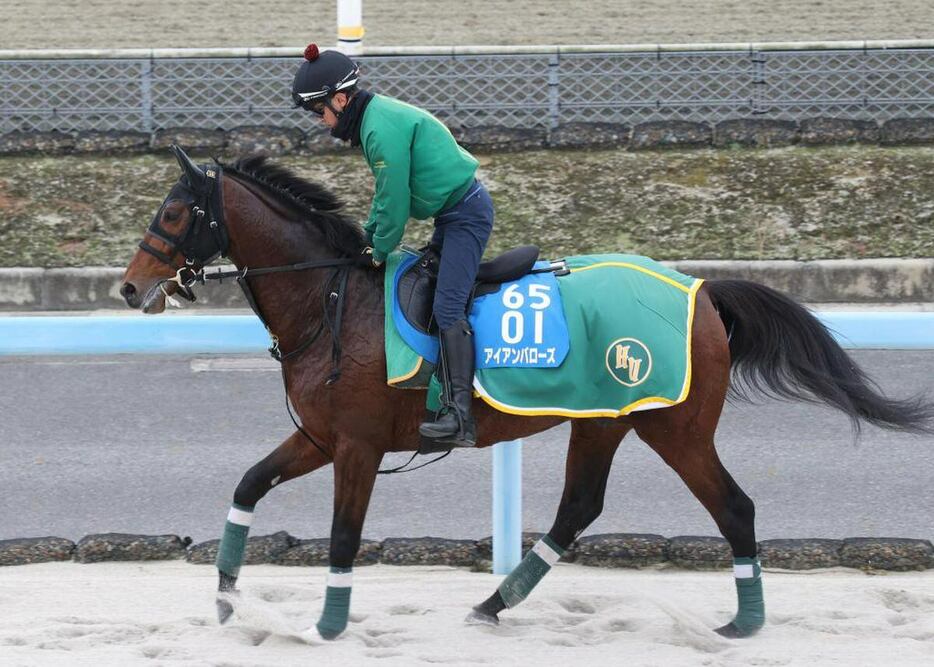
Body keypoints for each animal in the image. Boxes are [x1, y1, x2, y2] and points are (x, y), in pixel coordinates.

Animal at [120, 147, 932, 640]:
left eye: (172, 213)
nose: (130, 288)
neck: (331, 299)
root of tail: (701, 290)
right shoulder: (319, 436)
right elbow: (247, 485)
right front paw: (225, 597)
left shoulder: (357, 445)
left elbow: (345, 535)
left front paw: (326, 627)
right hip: (603, 419)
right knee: (578, 508)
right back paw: (492, 603)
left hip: (674, 426)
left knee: (733, 506)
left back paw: (744, 623)